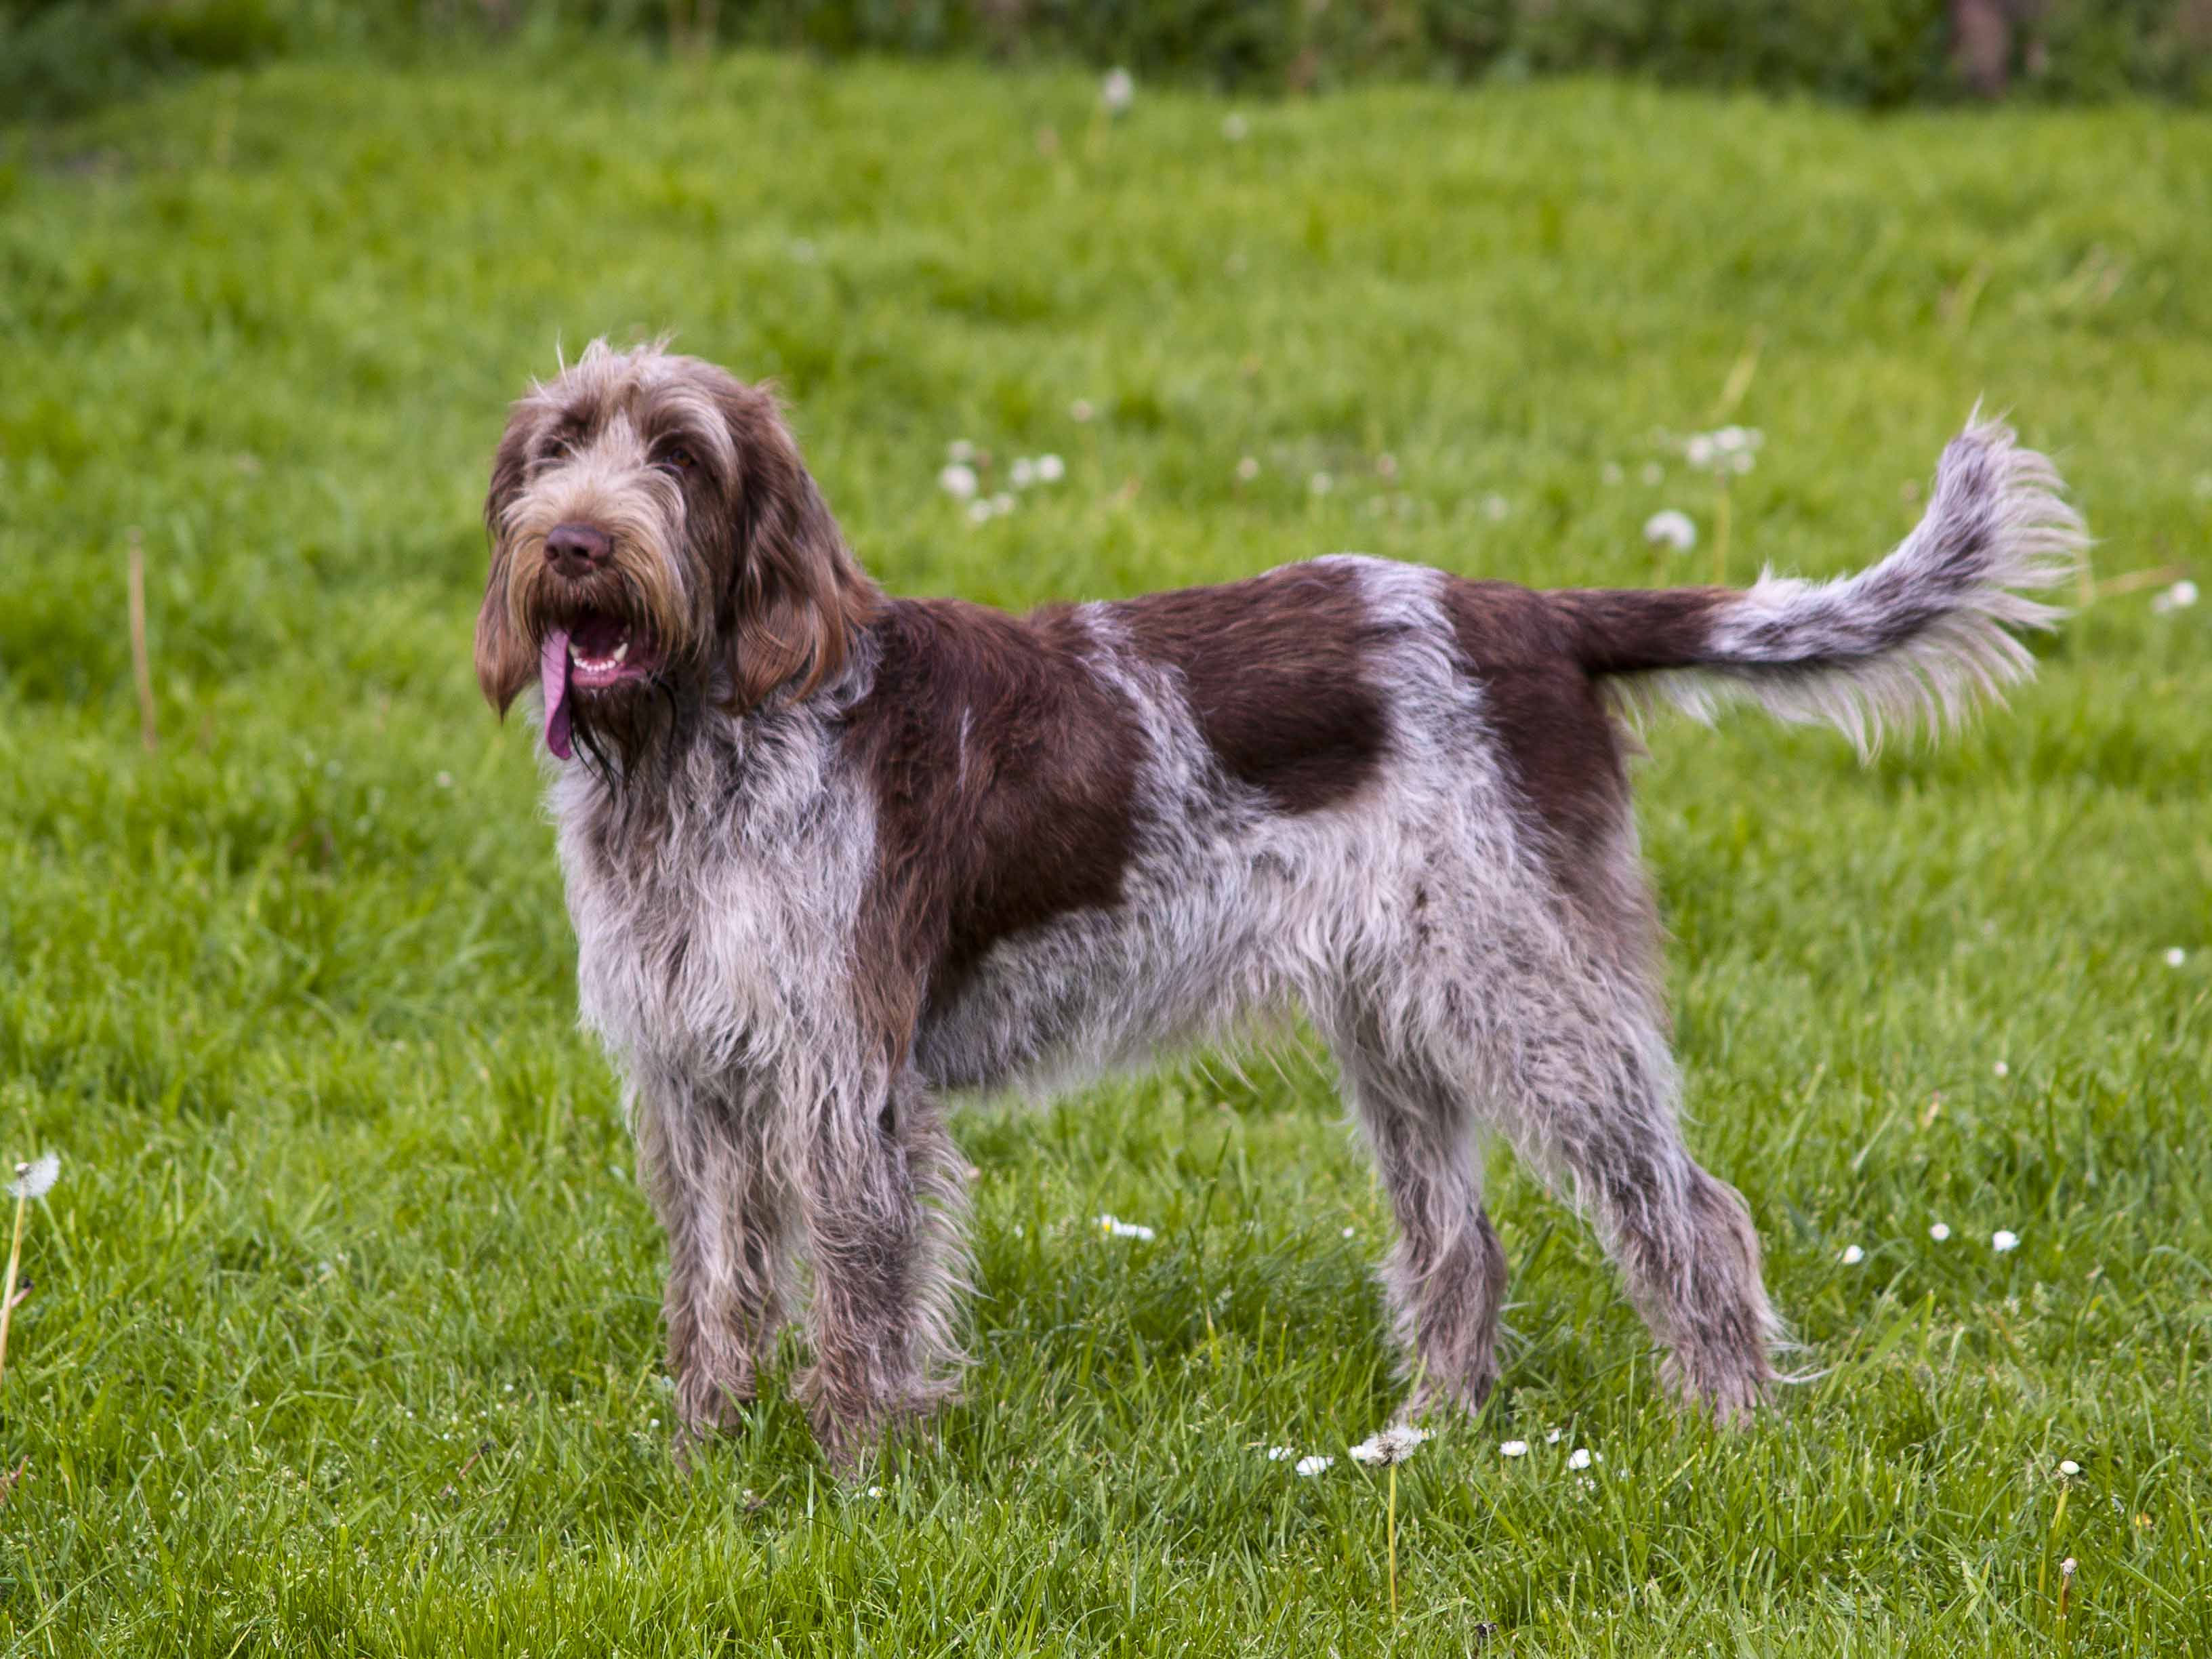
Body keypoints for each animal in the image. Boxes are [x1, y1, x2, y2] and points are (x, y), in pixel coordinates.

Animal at [475, 345, 2079, 1460]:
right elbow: (713, 1289)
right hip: (1401, 1021)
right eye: (556, 450)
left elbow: (861, 1300)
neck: (698, 746)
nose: (575, 543)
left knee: (1690, 1213)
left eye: (680, 457)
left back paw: (1725, 1429)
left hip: (1529, 1000)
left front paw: (854, 1476)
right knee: (1461, 1245)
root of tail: (1536, 615)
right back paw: (1427, 1438)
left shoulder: (840, 1085)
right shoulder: (690, 1076)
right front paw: (703, 1455)